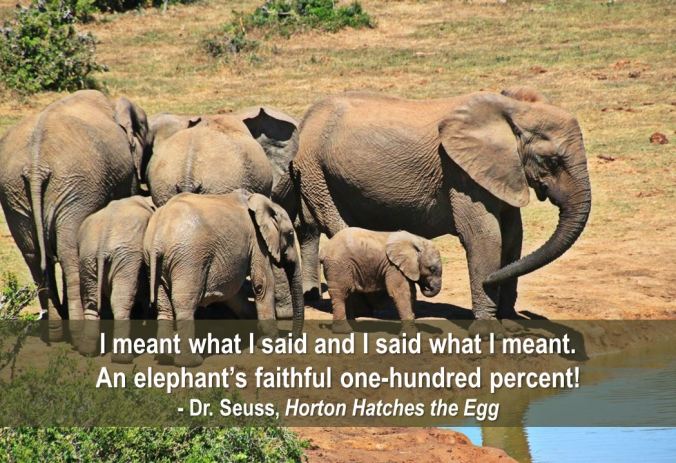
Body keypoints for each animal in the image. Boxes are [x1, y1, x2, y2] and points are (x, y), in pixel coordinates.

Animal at [0, 90, 149, 340]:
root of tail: (35, 166)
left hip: (15, 193)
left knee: (33, 255)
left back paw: (55, 330)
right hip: (75, 187)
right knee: (68, 251)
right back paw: (76, 330)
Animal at [77, 195, 156, 361]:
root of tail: (102, 242)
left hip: (86, 258)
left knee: (91, 301)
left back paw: (87, 351)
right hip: (126, 257)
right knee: (121, 299)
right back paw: (123, 358)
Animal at [143, 190, 304, 366]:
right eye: (290, 235)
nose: (291, 339)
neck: (263, 202)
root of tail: (157, 239)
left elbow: (235, 293)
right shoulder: (257, 240)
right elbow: (263, 284)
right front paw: (269, 343)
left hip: (154, 261)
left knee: (163, 304)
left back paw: (165, 357)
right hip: (189, 259)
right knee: (185, 304)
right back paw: (191, 362)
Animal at [291, 87, 591, 331]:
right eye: (551, 161)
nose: (489, 281)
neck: (512, 111)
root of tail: (306, 118)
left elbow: (512, 238)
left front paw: (511, 323)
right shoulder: (461, 174)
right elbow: (485, 239)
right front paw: (488, 328)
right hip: (315, 171)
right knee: (339, 224)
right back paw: (369, 307)